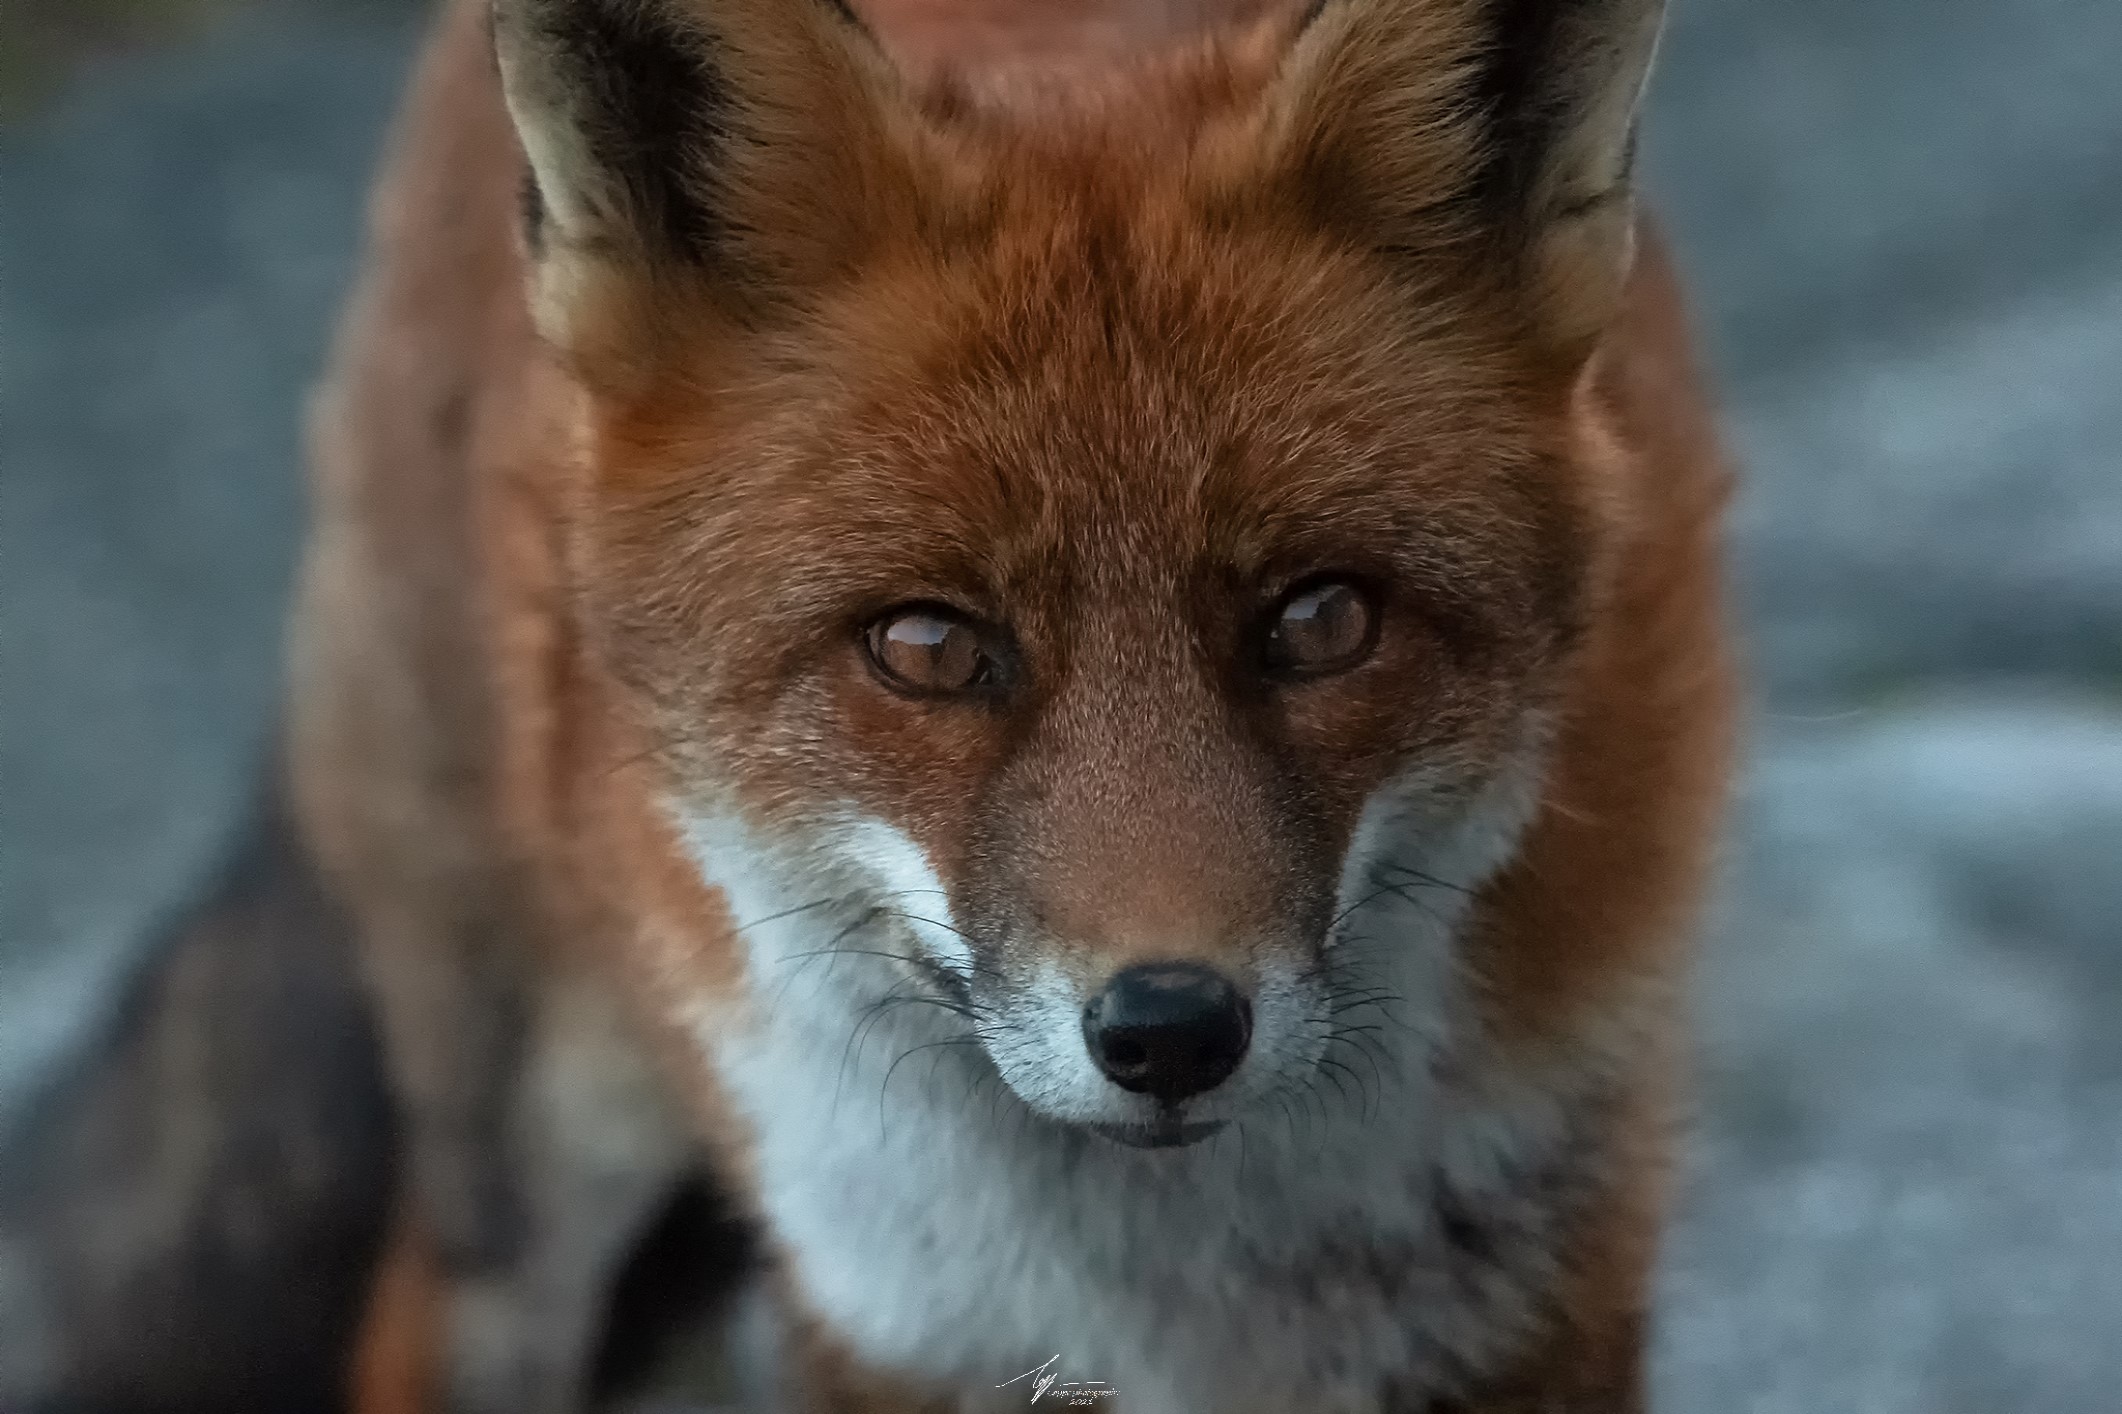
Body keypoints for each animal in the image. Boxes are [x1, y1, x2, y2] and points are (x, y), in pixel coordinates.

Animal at [291, 0, 1736, 1409]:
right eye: (927, 645)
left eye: (1322, 619)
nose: (1171, 1030)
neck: (1153, 1282)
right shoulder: (884, 1323)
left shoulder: (1537, 1290)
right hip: (532, 1126)